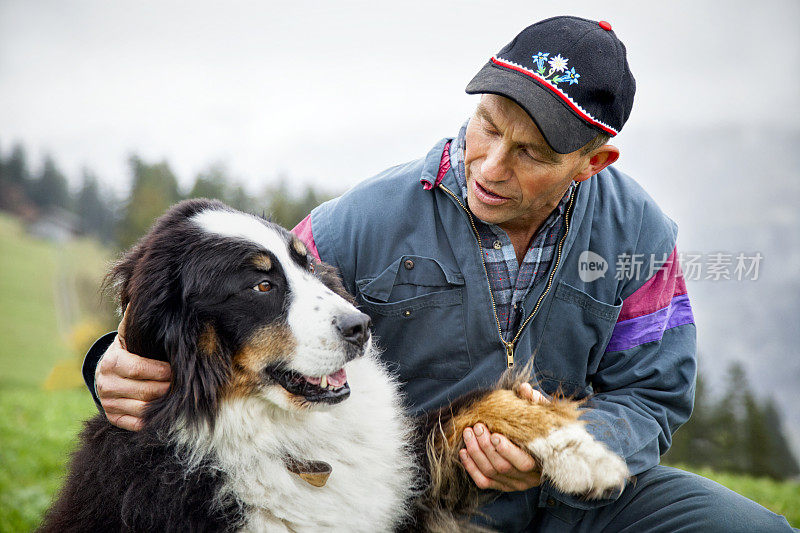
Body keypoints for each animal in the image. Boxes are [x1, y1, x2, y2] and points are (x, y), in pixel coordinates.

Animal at [40, 200, 632, 532]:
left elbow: (479, 406)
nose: (360, 327)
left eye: (306, 264)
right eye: (260, 285)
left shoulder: (405, 486)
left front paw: (583, 453)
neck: (292, 440)